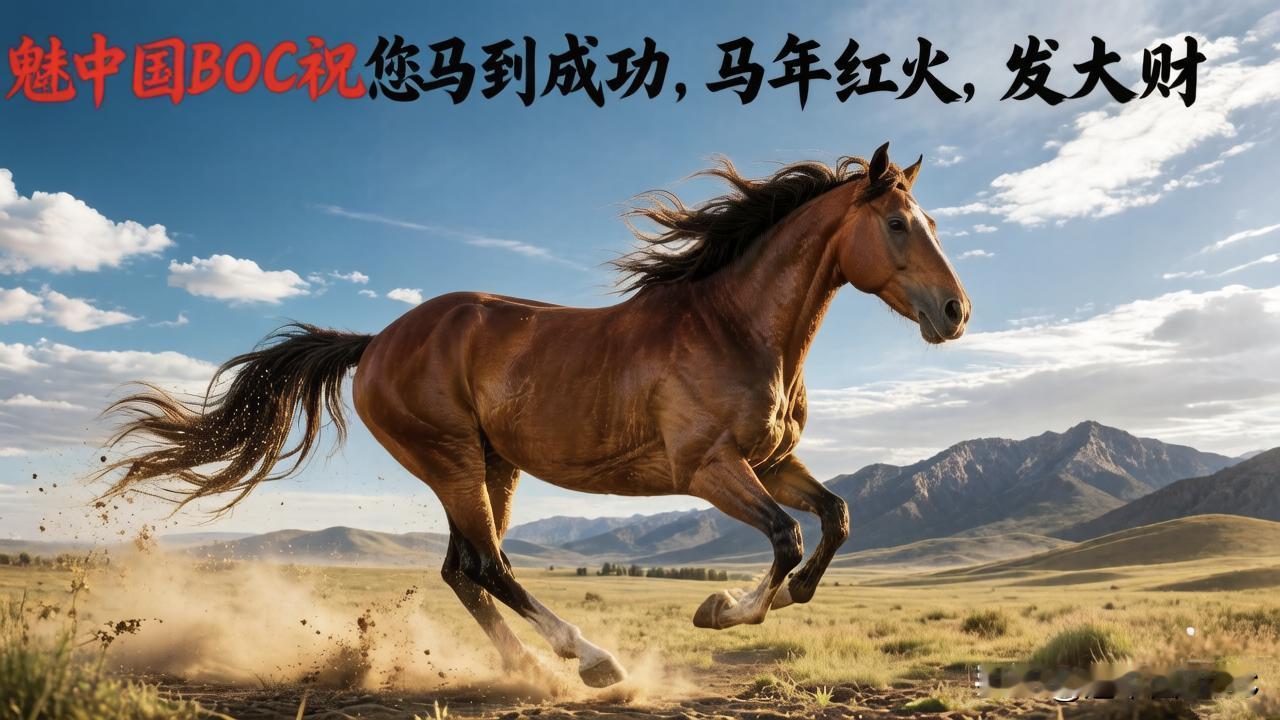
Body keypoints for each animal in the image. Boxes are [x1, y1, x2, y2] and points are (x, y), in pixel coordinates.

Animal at [99, 142, 970, 688]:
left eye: (932, 223)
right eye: (898, 224)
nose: (956, 312)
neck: (735, 327)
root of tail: (378, 341)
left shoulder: (772, 462)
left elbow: (837, 518)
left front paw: (763, 604)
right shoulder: (710, 469)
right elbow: (788, 537)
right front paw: (724, 609)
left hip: (494, 465)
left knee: (462, 569)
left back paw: (522, 668)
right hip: (452, 461)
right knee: (489, 566)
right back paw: (590, 661)